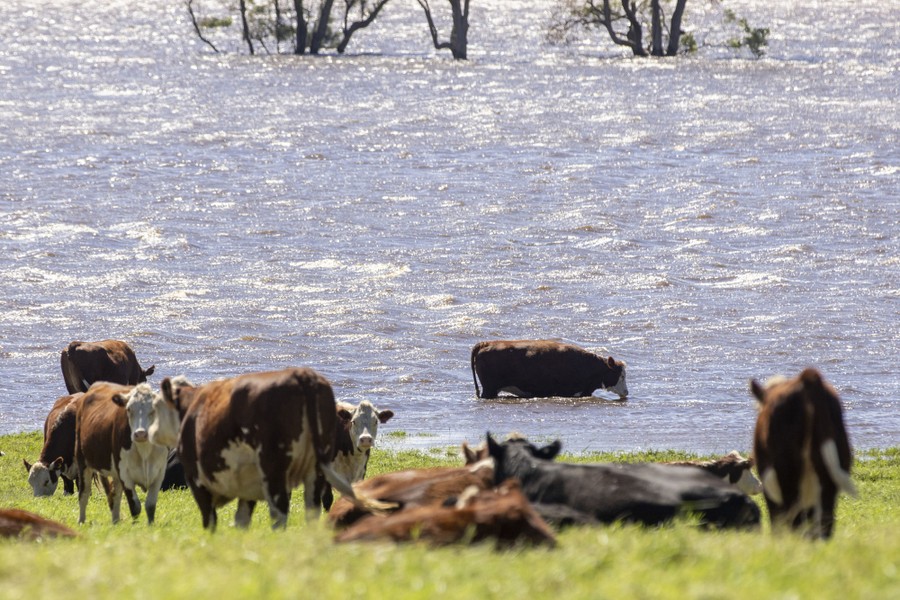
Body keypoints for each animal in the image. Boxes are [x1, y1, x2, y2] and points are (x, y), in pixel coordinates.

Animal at [75, 382, 177, 525]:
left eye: (153, 410)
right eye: (129, 409)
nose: (140, 434)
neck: (144, 452)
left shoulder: (159, 473)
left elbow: (150, 505)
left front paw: (150, 525)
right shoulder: (124, 473)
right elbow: (135, 506)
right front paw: (135, 525)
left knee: (115, 495)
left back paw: (116, 521)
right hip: (83, 462)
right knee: (84, 494)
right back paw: (81, 521)